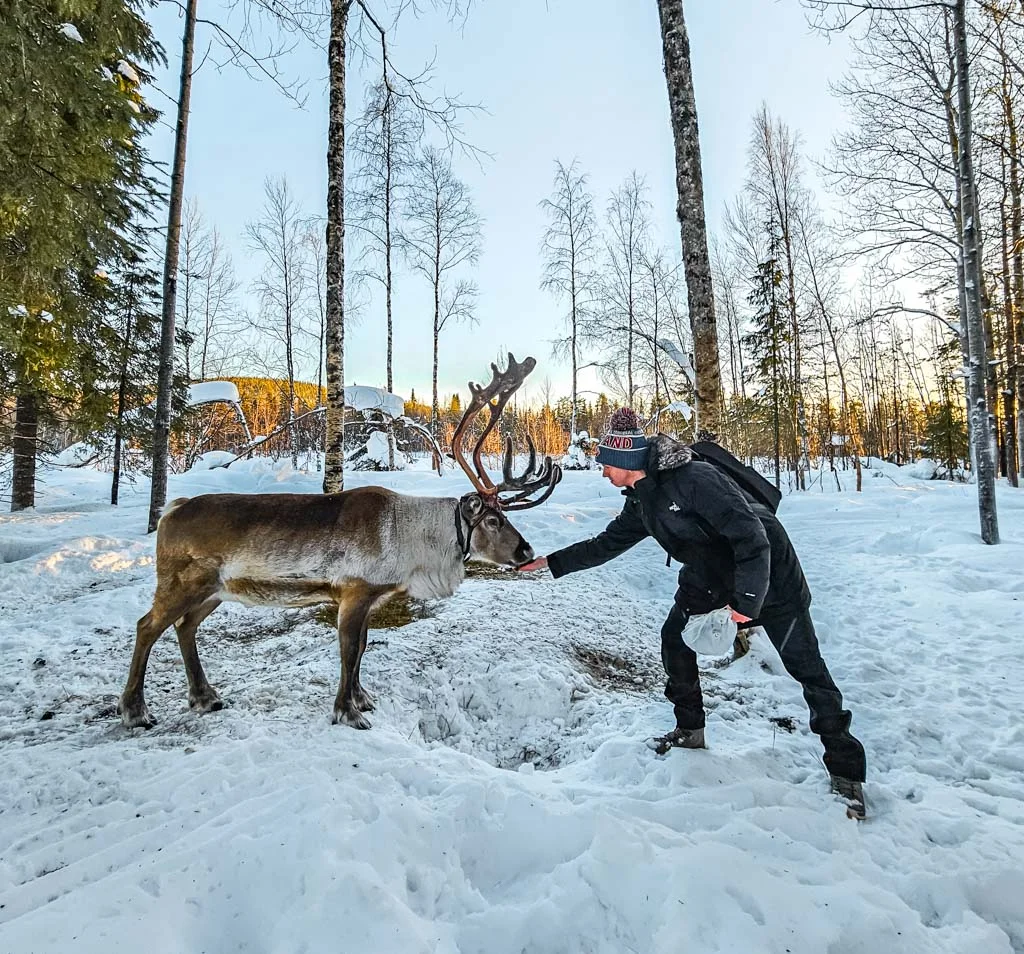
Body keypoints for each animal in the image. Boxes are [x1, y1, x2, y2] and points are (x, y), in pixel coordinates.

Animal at [118, 354, 561, 730]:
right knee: (147, 626)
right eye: (493, 519)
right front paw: (348, 712)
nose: (527, 551)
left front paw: (362, 699)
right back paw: (136, 711)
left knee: (184, 626)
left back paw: (205, 696)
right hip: (181, 582)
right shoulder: (353, 592)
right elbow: (349, 651)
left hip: (213, 590)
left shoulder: (372, 597)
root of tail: (170, 511)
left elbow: (362, 648)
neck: (412, 542)